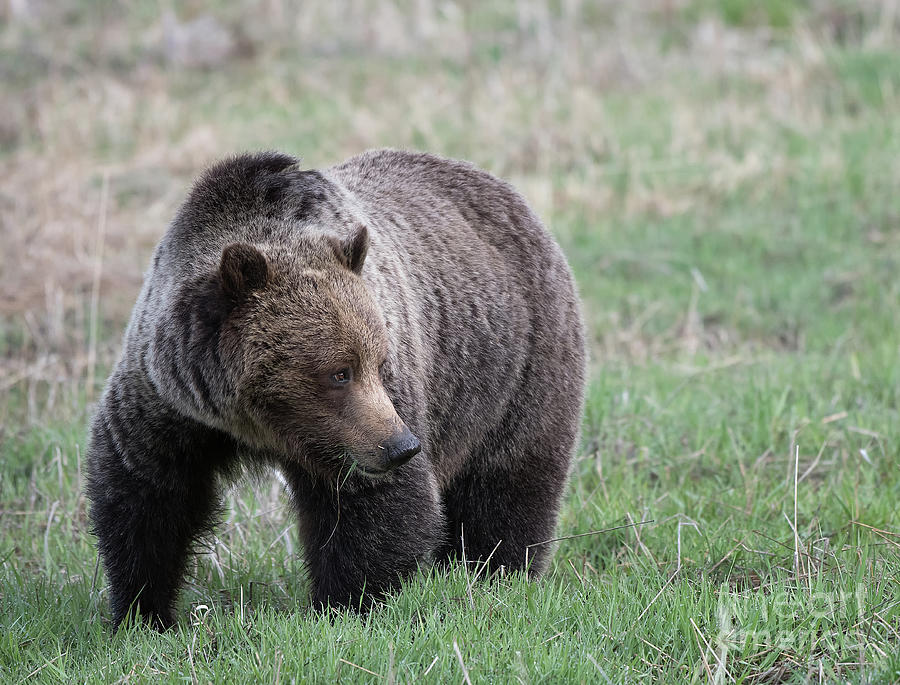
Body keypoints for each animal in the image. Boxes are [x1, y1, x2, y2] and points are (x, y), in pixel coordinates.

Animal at [86, 147, 584, 628]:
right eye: (339, 372)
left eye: (379, 364)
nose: (401, 446)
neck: (257, 423)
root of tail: (505, 190)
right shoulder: (170, 401)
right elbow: (147, 496)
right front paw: (141, 613)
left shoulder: (371, 419)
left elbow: (373, 509)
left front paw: (348, 604)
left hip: (517, 368)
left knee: (505, 483)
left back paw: (494, 572)